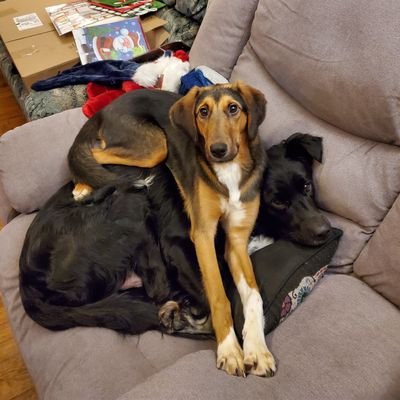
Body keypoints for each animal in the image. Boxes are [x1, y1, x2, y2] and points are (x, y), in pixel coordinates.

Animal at [19, 133, 332, 336]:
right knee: (159, 287)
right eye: (277, 202)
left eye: (307, 186)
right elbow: (217, 298)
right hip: (132, 201)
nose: (325, 231)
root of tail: (26, 280)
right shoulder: (177, 245)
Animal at [67, 83, 276, 376]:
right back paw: (81, 186)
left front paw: (257, 350)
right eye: (203, 112)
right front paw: (229, 350)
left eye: (233, 109)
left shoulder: (236, 240)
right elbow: (218, 295)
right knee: (90, 153)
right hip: (155, 146)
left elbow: (254, 297)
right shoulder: (202, 234)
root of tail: (107, 108)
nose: (217, 150)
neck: (229, 170)